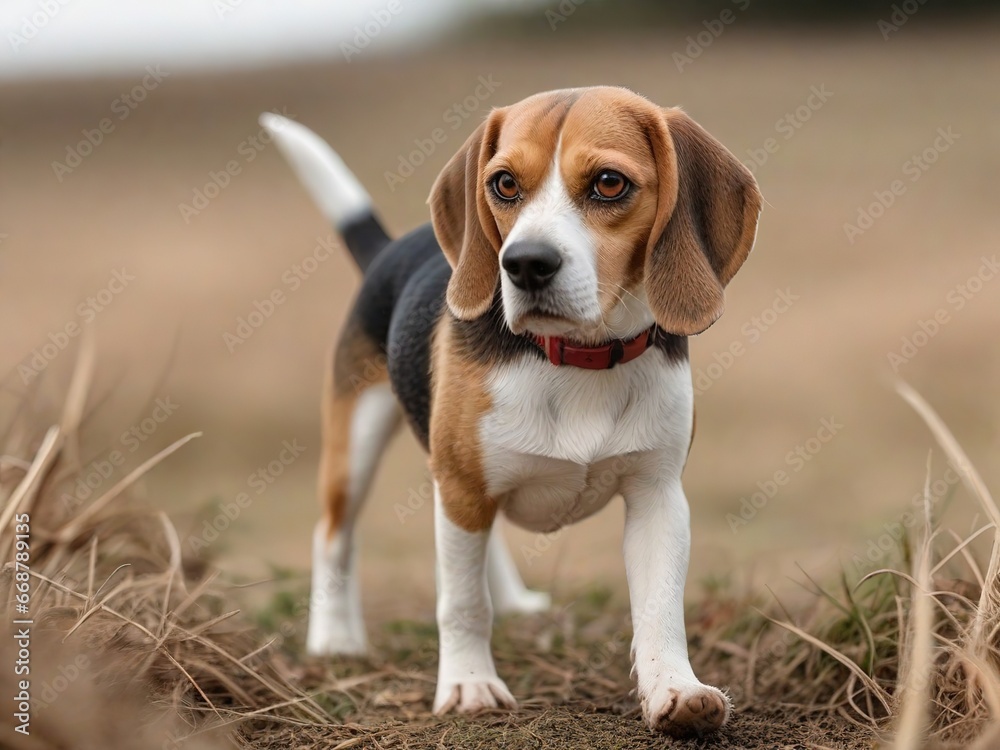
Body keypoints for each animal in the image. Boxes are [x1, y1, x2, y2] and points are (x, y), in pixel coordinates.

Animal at [262, 88, 760, 740]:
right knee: (333, 538)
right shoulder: (463, 484)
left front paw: (676, 691)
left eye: (609, 183)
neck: (577, 356)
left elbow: (660, 607)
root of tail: (392, 247)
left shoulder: (657, 494)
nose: (523, 263)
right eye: (503, 183)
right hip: (362, 444)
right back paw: (336, 639)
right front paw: (468, 685)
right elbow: (462, 602)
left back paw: (515, 603)